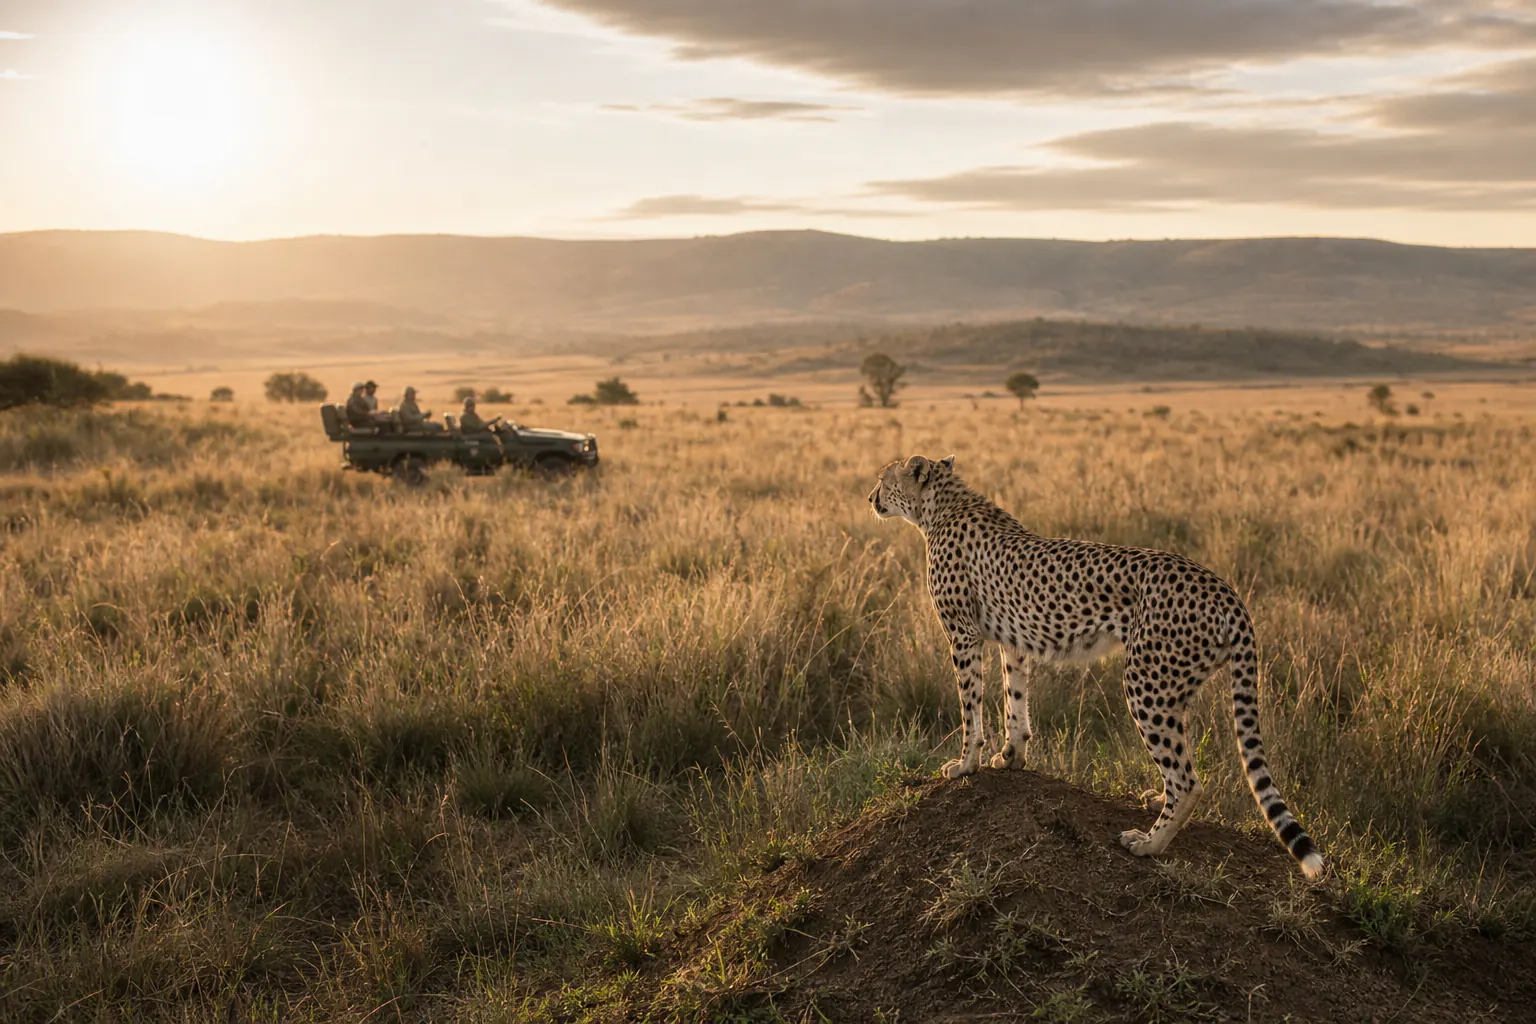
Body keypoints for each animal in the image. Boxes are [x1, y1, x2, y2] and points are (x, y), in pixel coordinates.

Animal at [869, 454, 1323, 879]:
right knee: (1180, 760)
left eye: (882, 479)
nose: (870, 499)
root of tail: (1224, 588)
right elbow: (1015, 698)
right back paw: (1158, 801)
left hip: (1145, 683)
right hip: (1172, 685)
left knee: (1188, 780)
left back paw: (1149, 843)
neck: (941, 507)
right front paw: (1012, 755)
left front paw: (966, 764)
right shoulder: (1012, 640)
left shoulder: (963, 634)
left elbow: (970, 707)